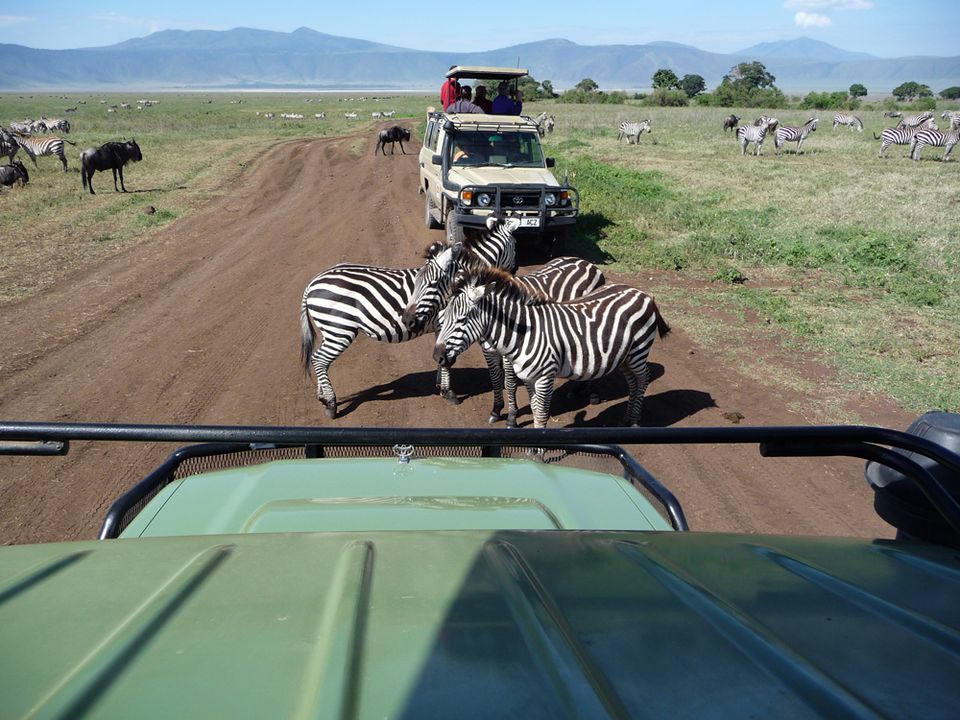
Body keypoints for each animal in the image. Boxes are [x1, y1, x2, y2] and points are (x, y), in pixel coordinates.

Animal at [300, 215, 520, 416]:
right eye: (515, 245)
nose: (514, 272)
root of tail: (313, 282)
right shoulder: (447, 323)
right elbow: (448, 361)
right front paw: (449, 393)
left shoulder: (441, 328)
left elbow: (441, 358)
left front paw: (440, 386)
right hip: (339, 328)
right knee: (320, 360)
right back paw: (331, 404)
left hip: (329, 330)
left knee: (318, 360)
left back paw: (322, 397)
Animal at [434, 268, 668, 430]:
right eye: (443, 318)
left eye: (462, 319)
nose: (438, 356)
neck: (524, 333)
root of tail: (643, 294)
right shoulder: (529, 378)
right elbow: (533, 407)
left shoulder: (545, 377)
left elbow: (540, 412)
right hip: (625, 356)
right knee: (633, 382)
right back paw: (626, 419)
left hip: (638, 351)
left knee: (644, 378)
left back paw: (635, 421)